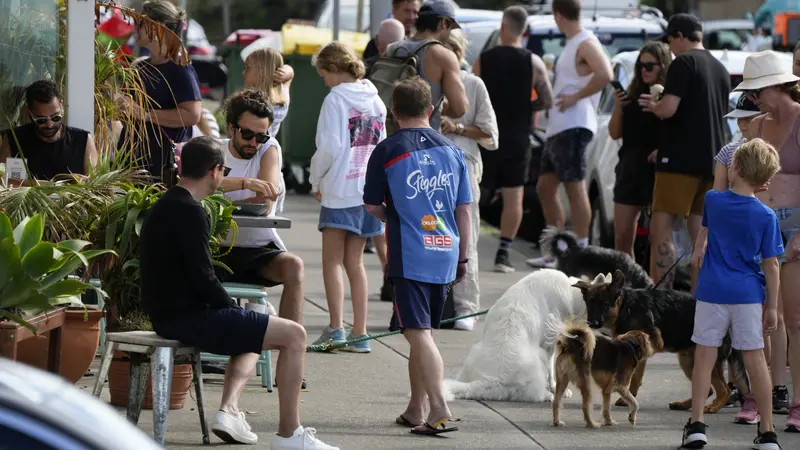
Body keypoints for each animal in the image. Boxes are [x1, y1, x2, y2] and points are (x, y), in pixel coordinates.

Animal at [440, 268, 608, 402]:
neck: (571, 293)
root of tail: (491, 380)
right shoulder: (548, 344)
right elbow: (551, 368)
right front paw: (555, 388)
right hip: (537, 358)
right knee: (535, 394)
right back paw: (547, 395)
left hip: (474, 353)